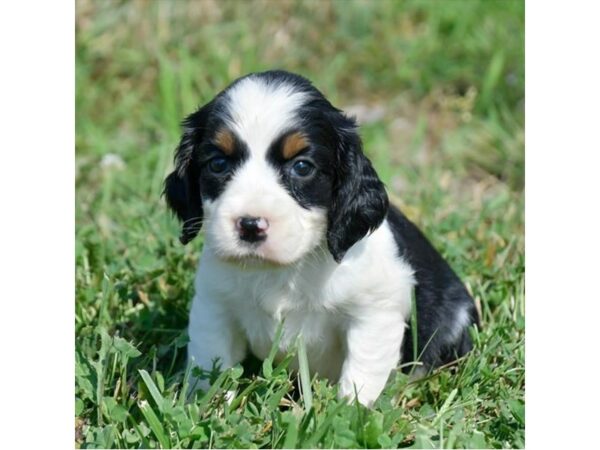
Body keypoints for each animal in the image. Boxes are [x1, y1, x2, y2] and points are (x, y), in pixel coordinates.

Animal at [163, 70, 478, 408]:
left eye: (302, 167)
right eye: (218, 164)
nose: (250, 225)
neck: (284, 270)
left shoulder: (374, 314)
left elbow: (361, 376)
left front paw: (350, 412)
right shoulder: (215, 306)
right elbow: (211, 367)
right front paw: (207, 407)